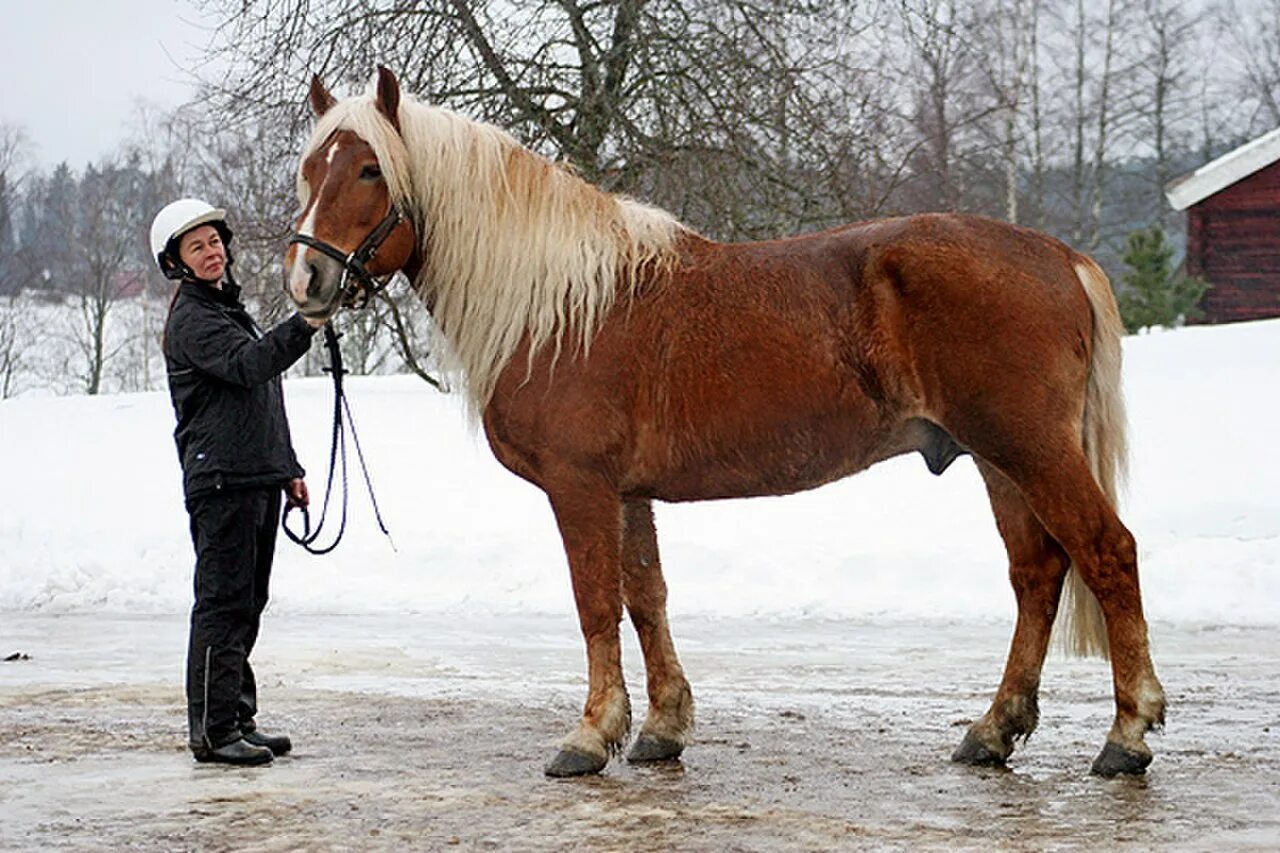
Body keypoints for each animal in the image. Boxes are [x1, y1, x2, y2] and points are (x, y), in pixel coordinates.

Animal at [285, 68, 1167, 778]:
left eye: (369, 168)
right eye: (309, 170)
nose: (307, 280)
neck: (562, 305)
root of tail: (1058, 256)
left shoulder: (580, 486)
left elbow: (595, 601)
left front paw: (588, 735)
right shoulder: (628, 492)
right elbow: (646, 596)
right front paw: (661, 728)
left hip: (1030, 448)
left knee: (1105, 552)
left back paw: (1126, 735)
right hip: (997, 457)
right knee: (1037, 573)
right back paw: (992, 731)